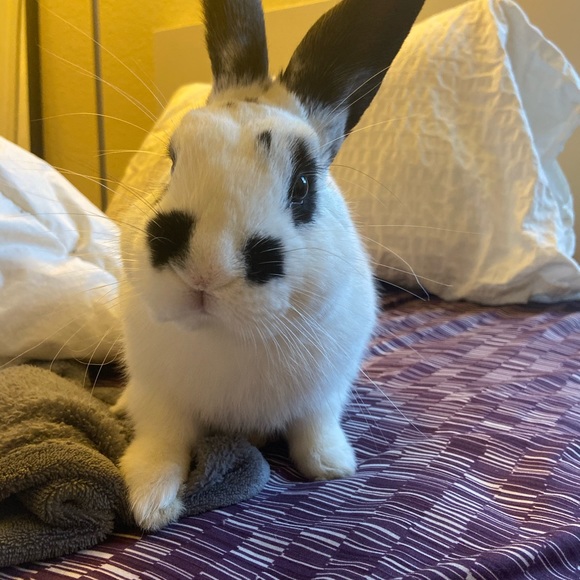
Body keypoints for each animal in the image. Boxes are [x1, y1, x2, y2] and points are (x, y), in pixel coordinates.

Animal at [113, 0, 425, 531]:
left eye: (302, 186)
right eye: (172, 162)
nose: (207, 268)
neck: (230, 336)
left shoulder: (325, 392)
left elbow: (314, 429)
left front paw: (332, 466)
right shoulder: (160, 400)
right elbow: (162, 444)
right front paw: (151, 503)